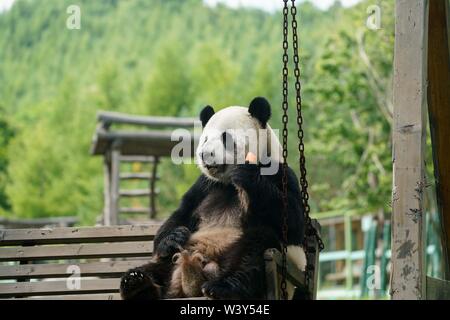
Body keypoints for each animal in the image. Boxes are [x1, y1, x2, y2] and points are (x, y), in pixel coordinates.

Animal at [120, 97, 306, 300]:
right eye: (205, 139)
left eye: (226, 138)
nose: (205, 154)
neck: (228, 182)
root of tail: (189, 283)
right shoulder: (205, 186)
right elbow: (181, 214)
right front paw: (173, 237)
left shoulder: (281, 174)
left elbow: (294, 223)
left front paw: (247, 174)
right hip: (172, 262)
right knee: (155, 268)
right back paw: (136, 283)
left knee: (255, 247)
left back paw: (223, 286)